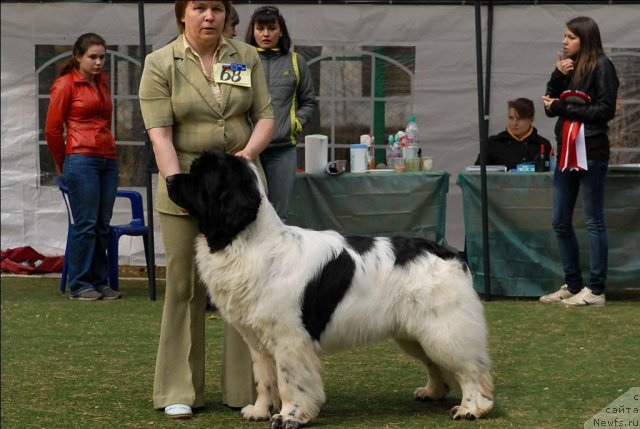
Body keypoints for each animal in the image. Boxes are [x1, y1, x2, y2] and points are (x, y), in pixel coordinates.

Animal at [168, 152, 492, 426]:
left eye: (200, 175)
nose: (169, 178)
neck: (246, 240)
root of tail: (449, 253)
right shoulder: (258, 340)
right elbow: (265, 378)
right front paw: (260, 411)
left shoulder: (290, 340)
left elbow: (289, 382)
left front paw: (289, 416)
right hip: (416, 332)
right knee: (436, 364)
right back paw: (432, 392)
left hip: (444, 328)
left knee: (472, 368)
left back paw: (472, 408)